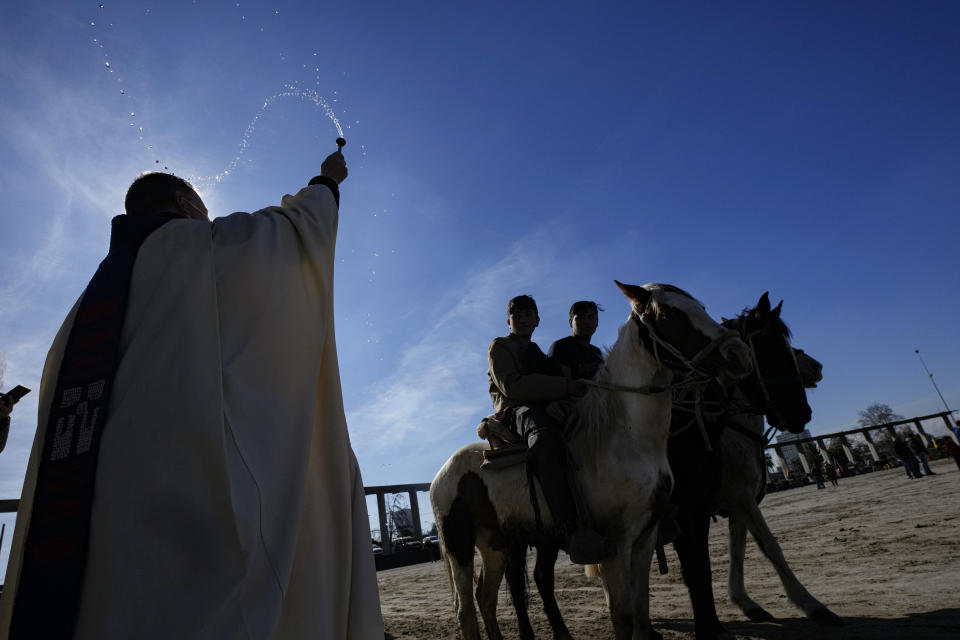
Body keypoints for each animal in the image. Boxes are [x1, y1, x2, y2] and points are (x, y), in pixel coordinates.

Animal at [432, 284, 752, 640]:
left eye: (701, 306)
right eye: (669, 313)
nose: (738, 353)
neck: (625, 439)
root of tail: (442, 474)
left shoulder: (646, 536)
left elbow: (641, 607)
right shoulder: (616, 544)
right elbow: (623, 614)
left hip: (496, 544)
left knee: (486, 597)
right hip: (461, 547)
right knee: (466, 610)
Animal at [712, 350, 840, 624]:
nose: (817, 366)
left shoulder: (740, 500)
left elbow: (737, 550)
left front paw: (745, 602)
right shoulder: (741, 497)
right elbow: (771, 546)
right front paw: (810, 604)